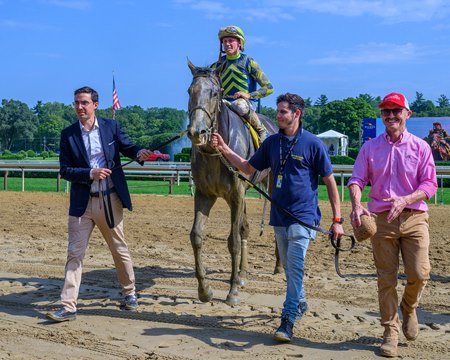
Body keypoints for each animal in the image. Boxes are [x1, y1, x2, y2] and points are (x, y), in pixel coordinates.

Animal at [185, 60, 278, 306]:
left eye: (215, 93)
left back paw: (279, 267)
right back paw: (243, 273)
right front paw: (205, 290)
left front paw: (233, 290)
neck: (216, 152)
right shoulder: (205, 194)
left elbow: (233, 240)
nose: (197, 131)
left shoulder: (236, 194)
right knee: (245, 228)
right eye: (190, 91)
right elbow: (196, 236)